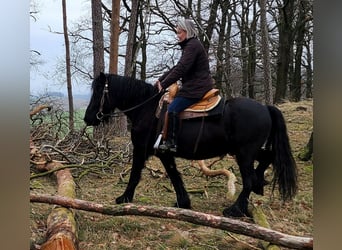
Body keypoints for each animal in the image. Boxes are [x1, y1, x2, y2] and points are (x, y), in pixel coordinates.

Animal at [83, 72, 296, 217]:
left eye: (99, 91)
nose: (87, 118)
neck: (146, 109)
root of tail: (265, 108)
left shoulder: (141, 150)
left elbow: (135, 174)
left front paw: (124, 198)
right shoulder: (164, 153)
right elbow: (174, 175)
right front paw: (183, 202)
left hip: (244, 154)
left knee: (249, 179)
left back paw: (235, 209)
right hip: (247, 151)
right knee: (268, 158)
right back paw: (259, 186)